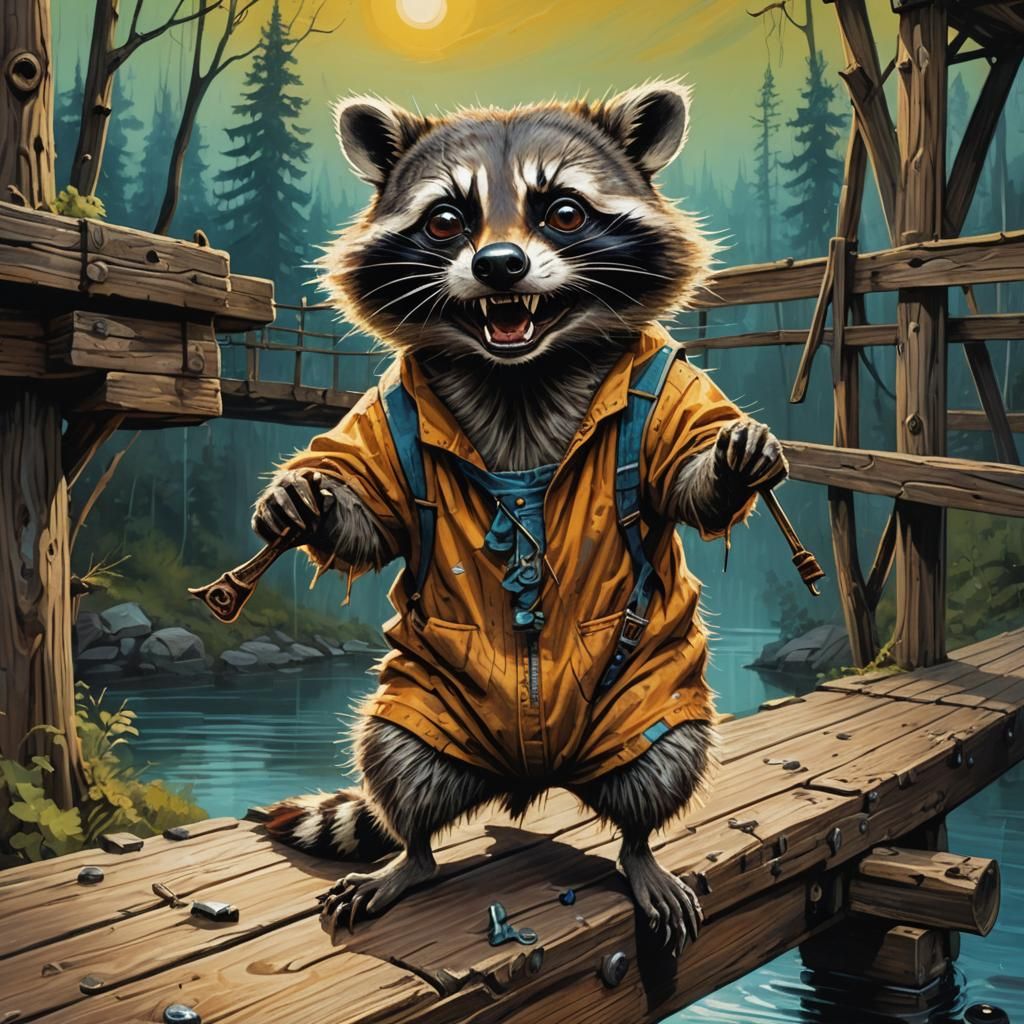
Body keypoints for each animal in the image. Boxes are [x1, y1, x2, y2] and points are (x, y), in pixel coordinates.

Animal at [256, 81, 787, 956]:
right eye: (446, 220)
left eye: (563, 212)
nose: (499, 264)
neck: (522, 367)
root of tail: (528, 774)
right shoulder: (389, 408)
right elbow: (373, 514)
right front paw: (313, 498)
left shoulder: (668, 386)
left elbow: (687, 476)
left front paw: (728, 458)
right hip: (425, 697)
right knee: (397, 757)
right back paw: (412, 854)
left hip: (648, 699)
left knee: (663, 764)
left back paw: (639, 849)